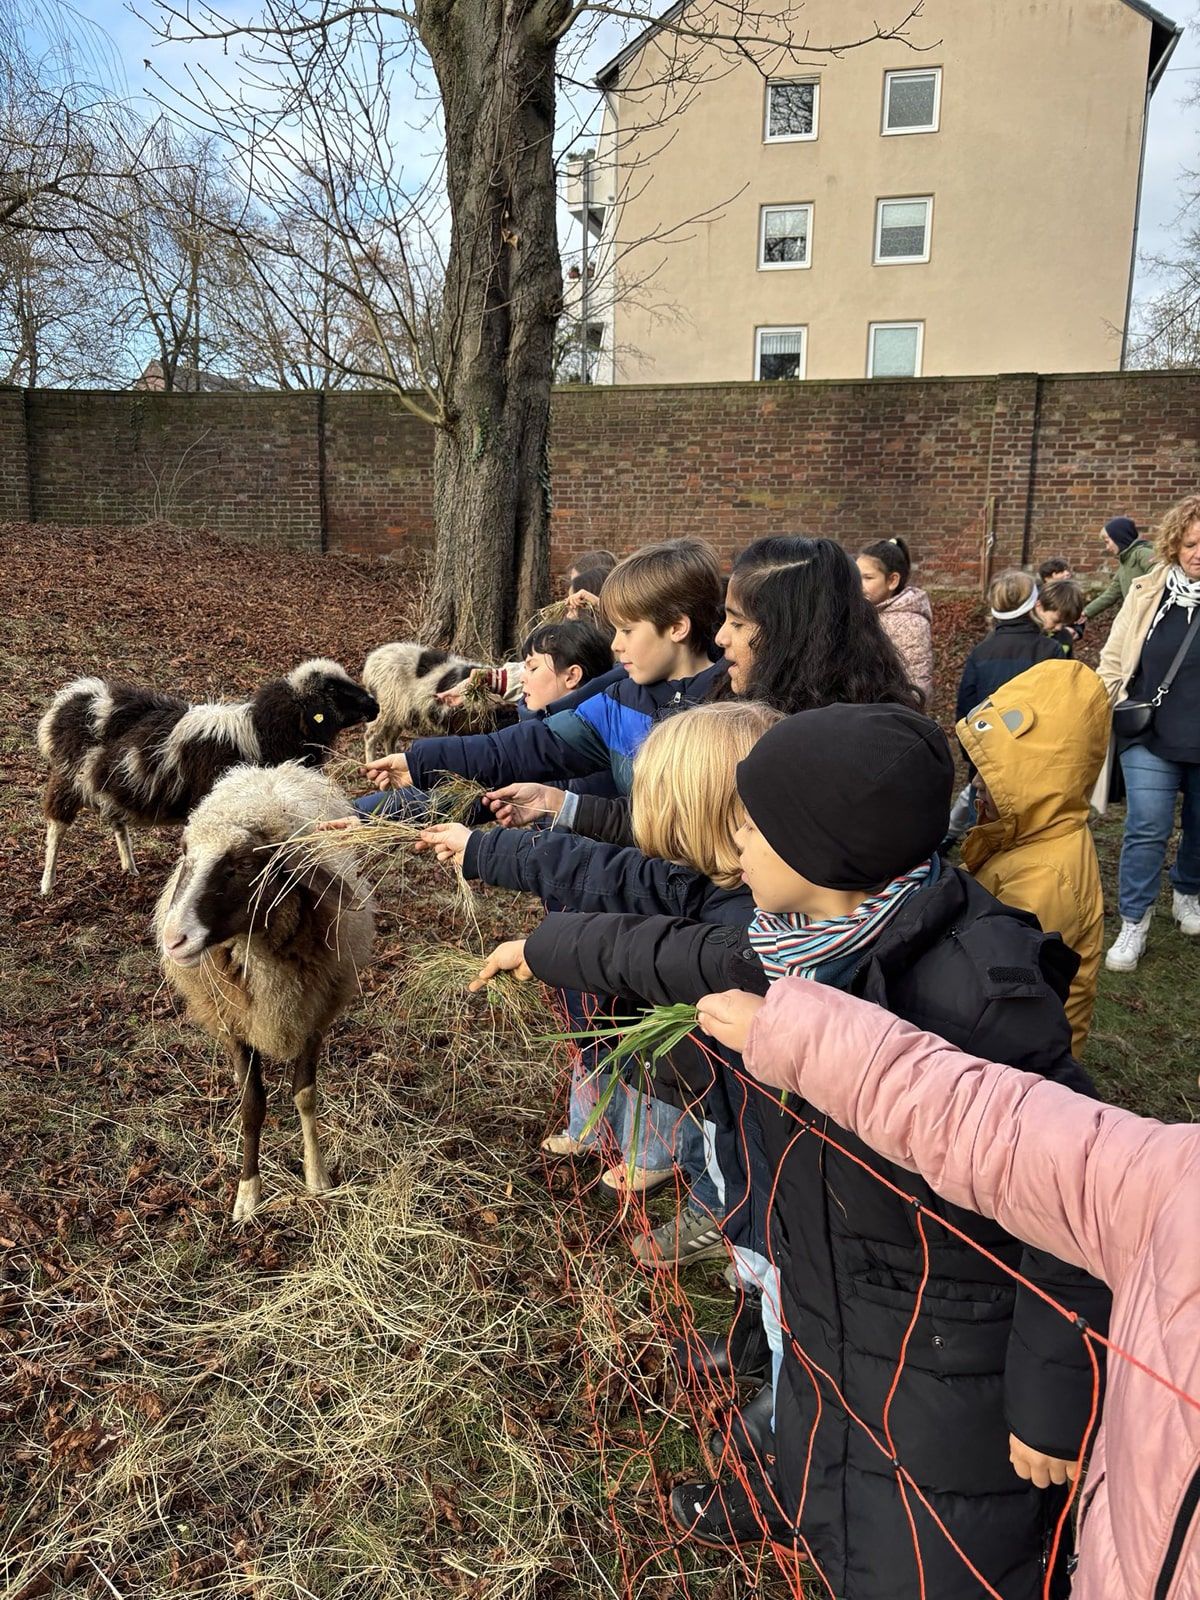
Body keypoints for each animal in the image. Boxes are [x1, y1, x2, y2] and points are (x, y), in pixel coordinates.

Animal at [38, 656, 376, 896]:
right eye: (332, 690)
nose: (374, 705)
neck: (262, 734)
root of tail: (78, 698)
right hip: (67, 782)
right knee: (56, 829)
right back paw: (47, 885)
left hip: (109, 785)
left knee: (117, 823)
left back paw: (129, 868)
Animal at [155, 761, 374, 1222]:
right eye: (185, 853)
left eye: (241, 864)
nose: (173, 940)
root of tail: (272, 769)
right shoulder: (234, 1022)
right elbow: (252, 1105)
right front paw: (248, 1193)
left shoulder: (313, 1015)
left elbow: (305, 1095)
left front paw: (316, 1175)